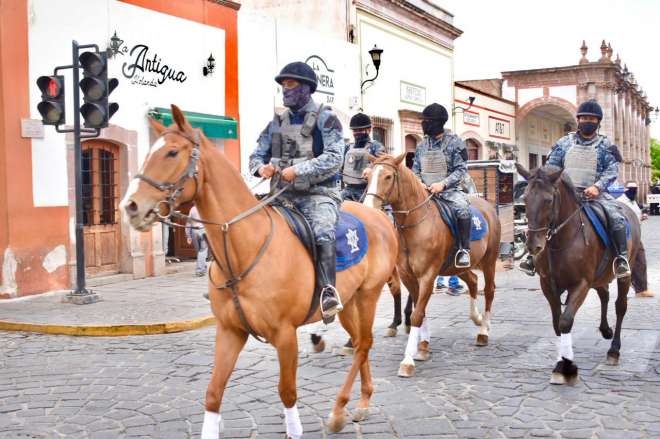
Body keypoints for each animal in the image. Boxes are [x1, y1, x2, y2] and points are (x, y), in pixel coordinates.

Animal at [120, 105, 399, 438]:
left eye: (172, 152)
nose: (131, 206)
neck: (244, 249)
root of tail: (378, 217)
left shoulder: (285, 335)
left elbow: (287, 392)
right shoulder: (230, 331)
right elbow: (213, 392)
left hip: (369, 295)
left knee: (365, 343)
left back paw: (340, 409)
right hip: (349, 303)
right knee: (360, 343)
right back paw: (361, 401)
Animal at [363, 153, 501, 377]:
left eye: (388, 177)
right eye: (367, 176)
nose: (367, 208)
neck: (415, 226)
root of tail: (487, 205)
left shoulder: (427, 276)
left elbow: (417, 314)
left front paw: (408, 360)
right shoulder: (408, 276)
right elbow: (420, 310)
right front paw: (423, 347)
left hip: (489, 261)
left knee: (489, 291)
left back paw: (483, 331)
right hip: (457, 267)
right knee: (472, 281)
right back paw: (477, 318)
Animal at [515, 163, 642, 385]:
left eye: (549, 200)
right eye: (525, 198)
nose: (533, 245)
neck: (561, 241)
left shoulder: (581, 284)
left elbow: (565, 322)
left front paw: (565, 367)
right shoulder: (548, 285)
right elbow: (557, 324)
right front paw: (560, 362)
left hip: (625, 274)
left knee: (620, 306)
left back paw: (614, 350)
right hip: (599, 277)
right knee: (604, 295)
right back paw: (605, 330)